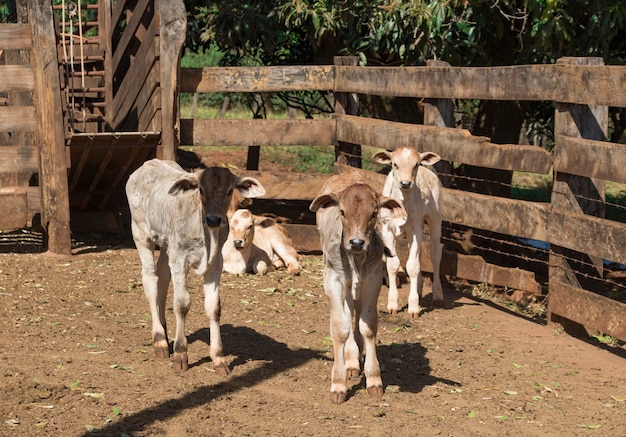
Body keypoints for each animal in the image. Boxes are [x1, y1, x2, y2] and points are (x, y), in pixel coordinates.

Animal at [125, 158, 264, 372]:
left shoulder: (215, 262)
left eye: (230, 191)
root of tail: (148, 164)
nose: (214, 219)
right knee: (150, 280)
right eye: (200, 190)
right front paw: (181, 354)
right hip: (141, 233)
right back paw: (160, 340)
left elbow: (214, 307)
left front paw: (219, 358)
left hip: (166, 244)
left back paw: (165, 330)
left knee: (162, 277)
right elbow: (182, 304)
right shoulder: (180, 258)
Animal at [308, 170, 404, 402]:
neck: (357, 259)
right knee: (348, 311)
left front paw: (374, 379)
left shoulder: (373, 279)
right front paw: (338, 383)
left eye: (374, 212)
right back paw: (351, 360)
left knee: (356, 310)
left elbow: (368, 326)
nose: (357, 242)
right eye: (342, 211)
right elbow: (340, 328)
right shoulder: (333, 280)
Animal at [372, 146, 442, 316]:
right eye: (394, 164)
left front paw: (414, 306)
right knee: (419, 254)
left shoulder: (415, 230)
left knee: (435, 254)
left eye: (415, 165)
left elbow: (413, 266)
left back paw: (437, 294)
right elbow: (393, 264)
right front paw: (392, 304)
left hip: (435, 219)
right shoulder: (388, 229)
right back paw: (419, 289)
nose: (405, 183)